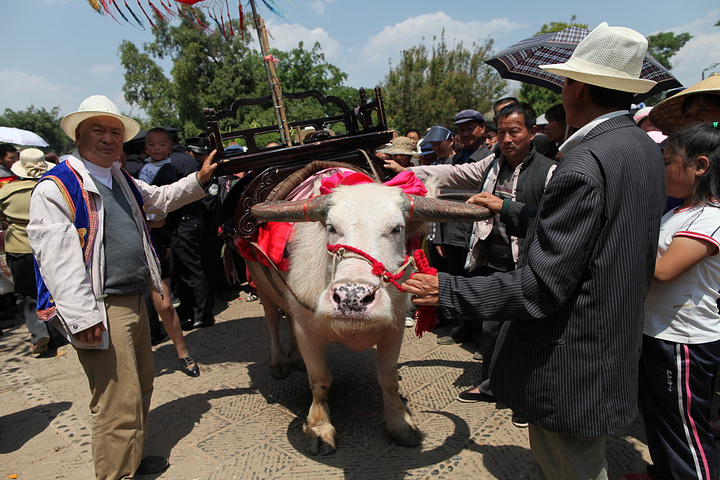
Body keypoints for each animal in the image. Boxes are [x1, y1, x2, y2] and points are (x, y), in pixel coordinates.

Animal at [249, 181, 490, 454]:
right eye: (332, 227)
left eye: (396, 229)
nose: (352, 298)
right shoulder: (307, 330)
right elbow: (320, 380)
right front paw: (319, 428)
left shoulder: (394, 330)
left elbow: (388, 378)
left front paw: (400, 423)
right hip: (260, 284)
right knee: (272, 319)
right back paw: (280, 362)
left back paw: (297, 358)